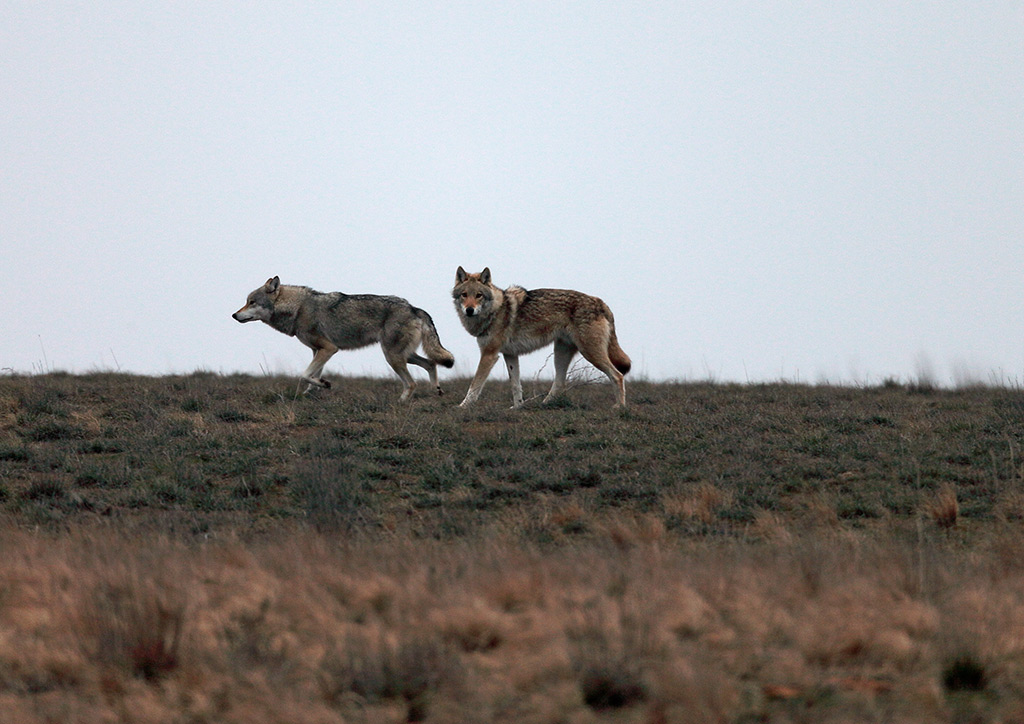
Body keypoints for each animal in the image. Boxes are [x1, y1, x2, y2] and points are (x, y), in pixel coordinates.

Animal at [237, 276, 454, 401]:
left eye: (252, 302)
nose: (233, 315)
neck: (298, 309)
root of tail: (414, 308)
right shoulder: (317, 351)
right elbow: (312, 376)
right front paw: (311, 392)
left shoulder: (329, 348)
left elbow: (305, 374)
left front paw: (324, 384)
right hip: (403, 355)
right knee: (430, 364)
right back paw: (436, 390)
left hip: (393, 356)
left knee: (412, 383)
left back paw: (400, 402)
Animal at [450, 268, 626, 411]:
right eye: (464, 295)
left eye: (478, 295)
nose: (469, 310)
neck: (496, 311)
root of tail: (601, 302)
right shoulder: (510, 355)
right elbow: (516, 386)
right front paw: (517, 407)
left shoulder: (489, 355)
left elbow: (475, 384)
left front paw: (463, 406)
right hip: (561, 354)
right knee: (559, 383)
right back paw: (544, 405)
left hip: (590, 353)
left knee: (618, 375)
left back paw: (620, 407)